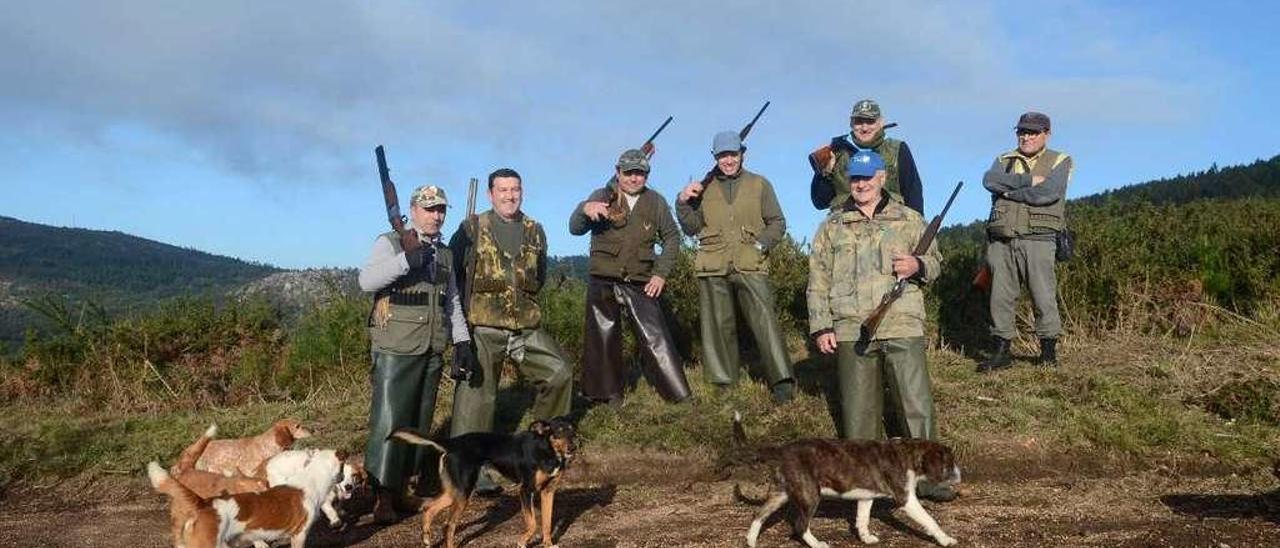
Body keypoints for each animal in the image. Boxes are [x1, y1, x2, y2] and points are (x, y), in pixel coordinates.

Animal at [384, 417, 576, 548]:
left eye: (572, 431)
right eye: (558, 431)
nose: (574, 447)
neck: (547, 450)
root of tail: (452, 443)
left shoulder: (548, 492)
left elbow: (547, 523)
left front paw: (548, 544)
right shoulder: (525, 490)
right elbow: (533, 523)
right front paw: (522, 541)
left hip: (456, 493)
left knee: (429, 508)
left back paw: (426, 540)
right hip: (464, 493)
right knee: (448, 525)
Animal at [732, 412, 962, 545]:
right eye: (950, 464)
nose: (960, 476)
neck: (909, 454)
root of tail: (783, 449)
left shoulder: (866, 497)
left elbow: (862, 520)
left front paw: (866, 538)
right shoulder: (906, 500)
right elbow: (930, 520)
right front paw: (946, 539)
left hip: (780, 494)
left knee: (758, 515)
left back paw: (751, 541)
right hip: (810, 495)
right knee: (800, 526)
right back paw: (817, 544)